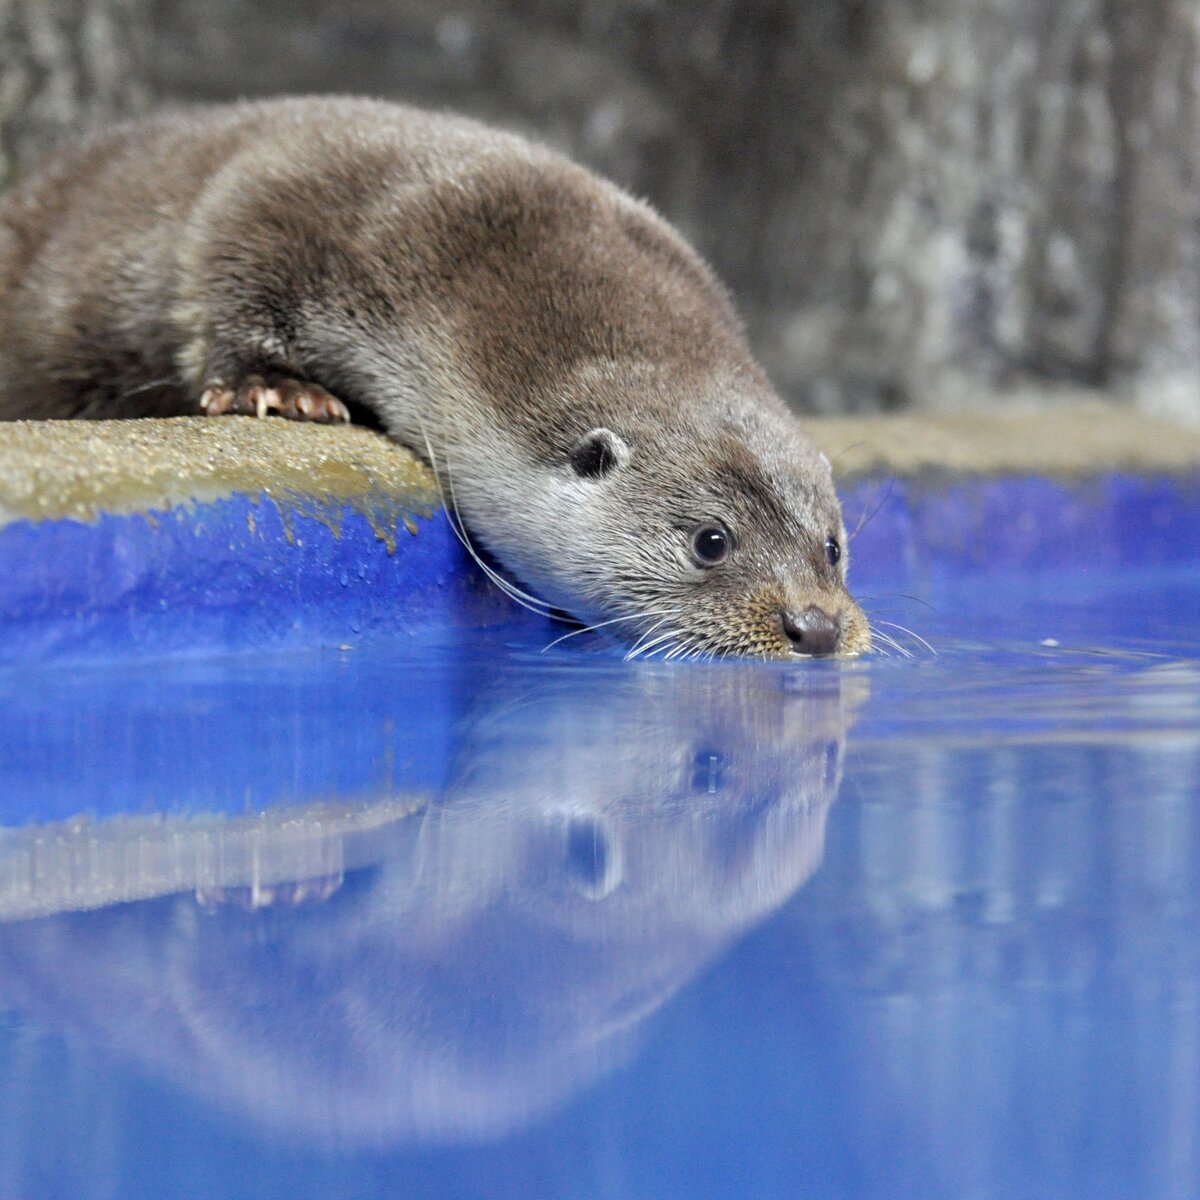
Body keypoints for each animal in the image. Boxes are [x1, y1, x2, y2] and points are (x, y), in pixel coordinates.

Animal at [0, 98, 868, 662]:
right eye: (710, 541)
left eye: (832, 547)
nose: (817, 628)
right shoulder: (297, 197)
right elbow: (225, 259)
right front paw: (273, 388)